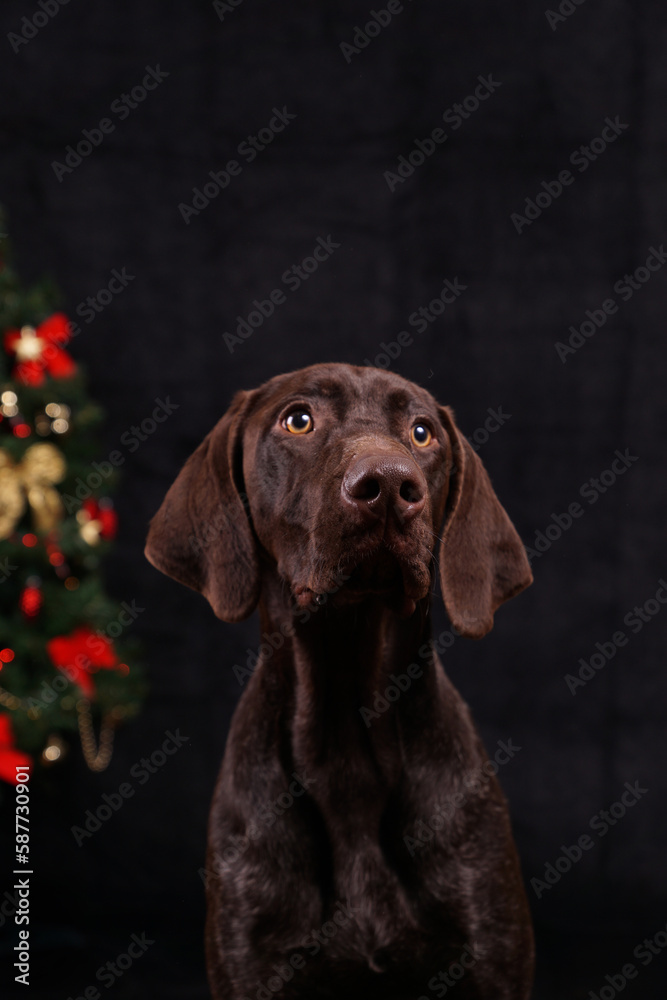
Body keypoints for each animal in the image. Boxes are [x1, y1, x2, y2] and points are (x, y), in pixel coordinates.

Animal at [146, 364, 536, 996]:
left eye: (422, 432)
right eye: (298, 419)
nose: (389, 484)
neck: (347, 743)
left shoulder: (490, 956)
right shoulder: (251, 961)